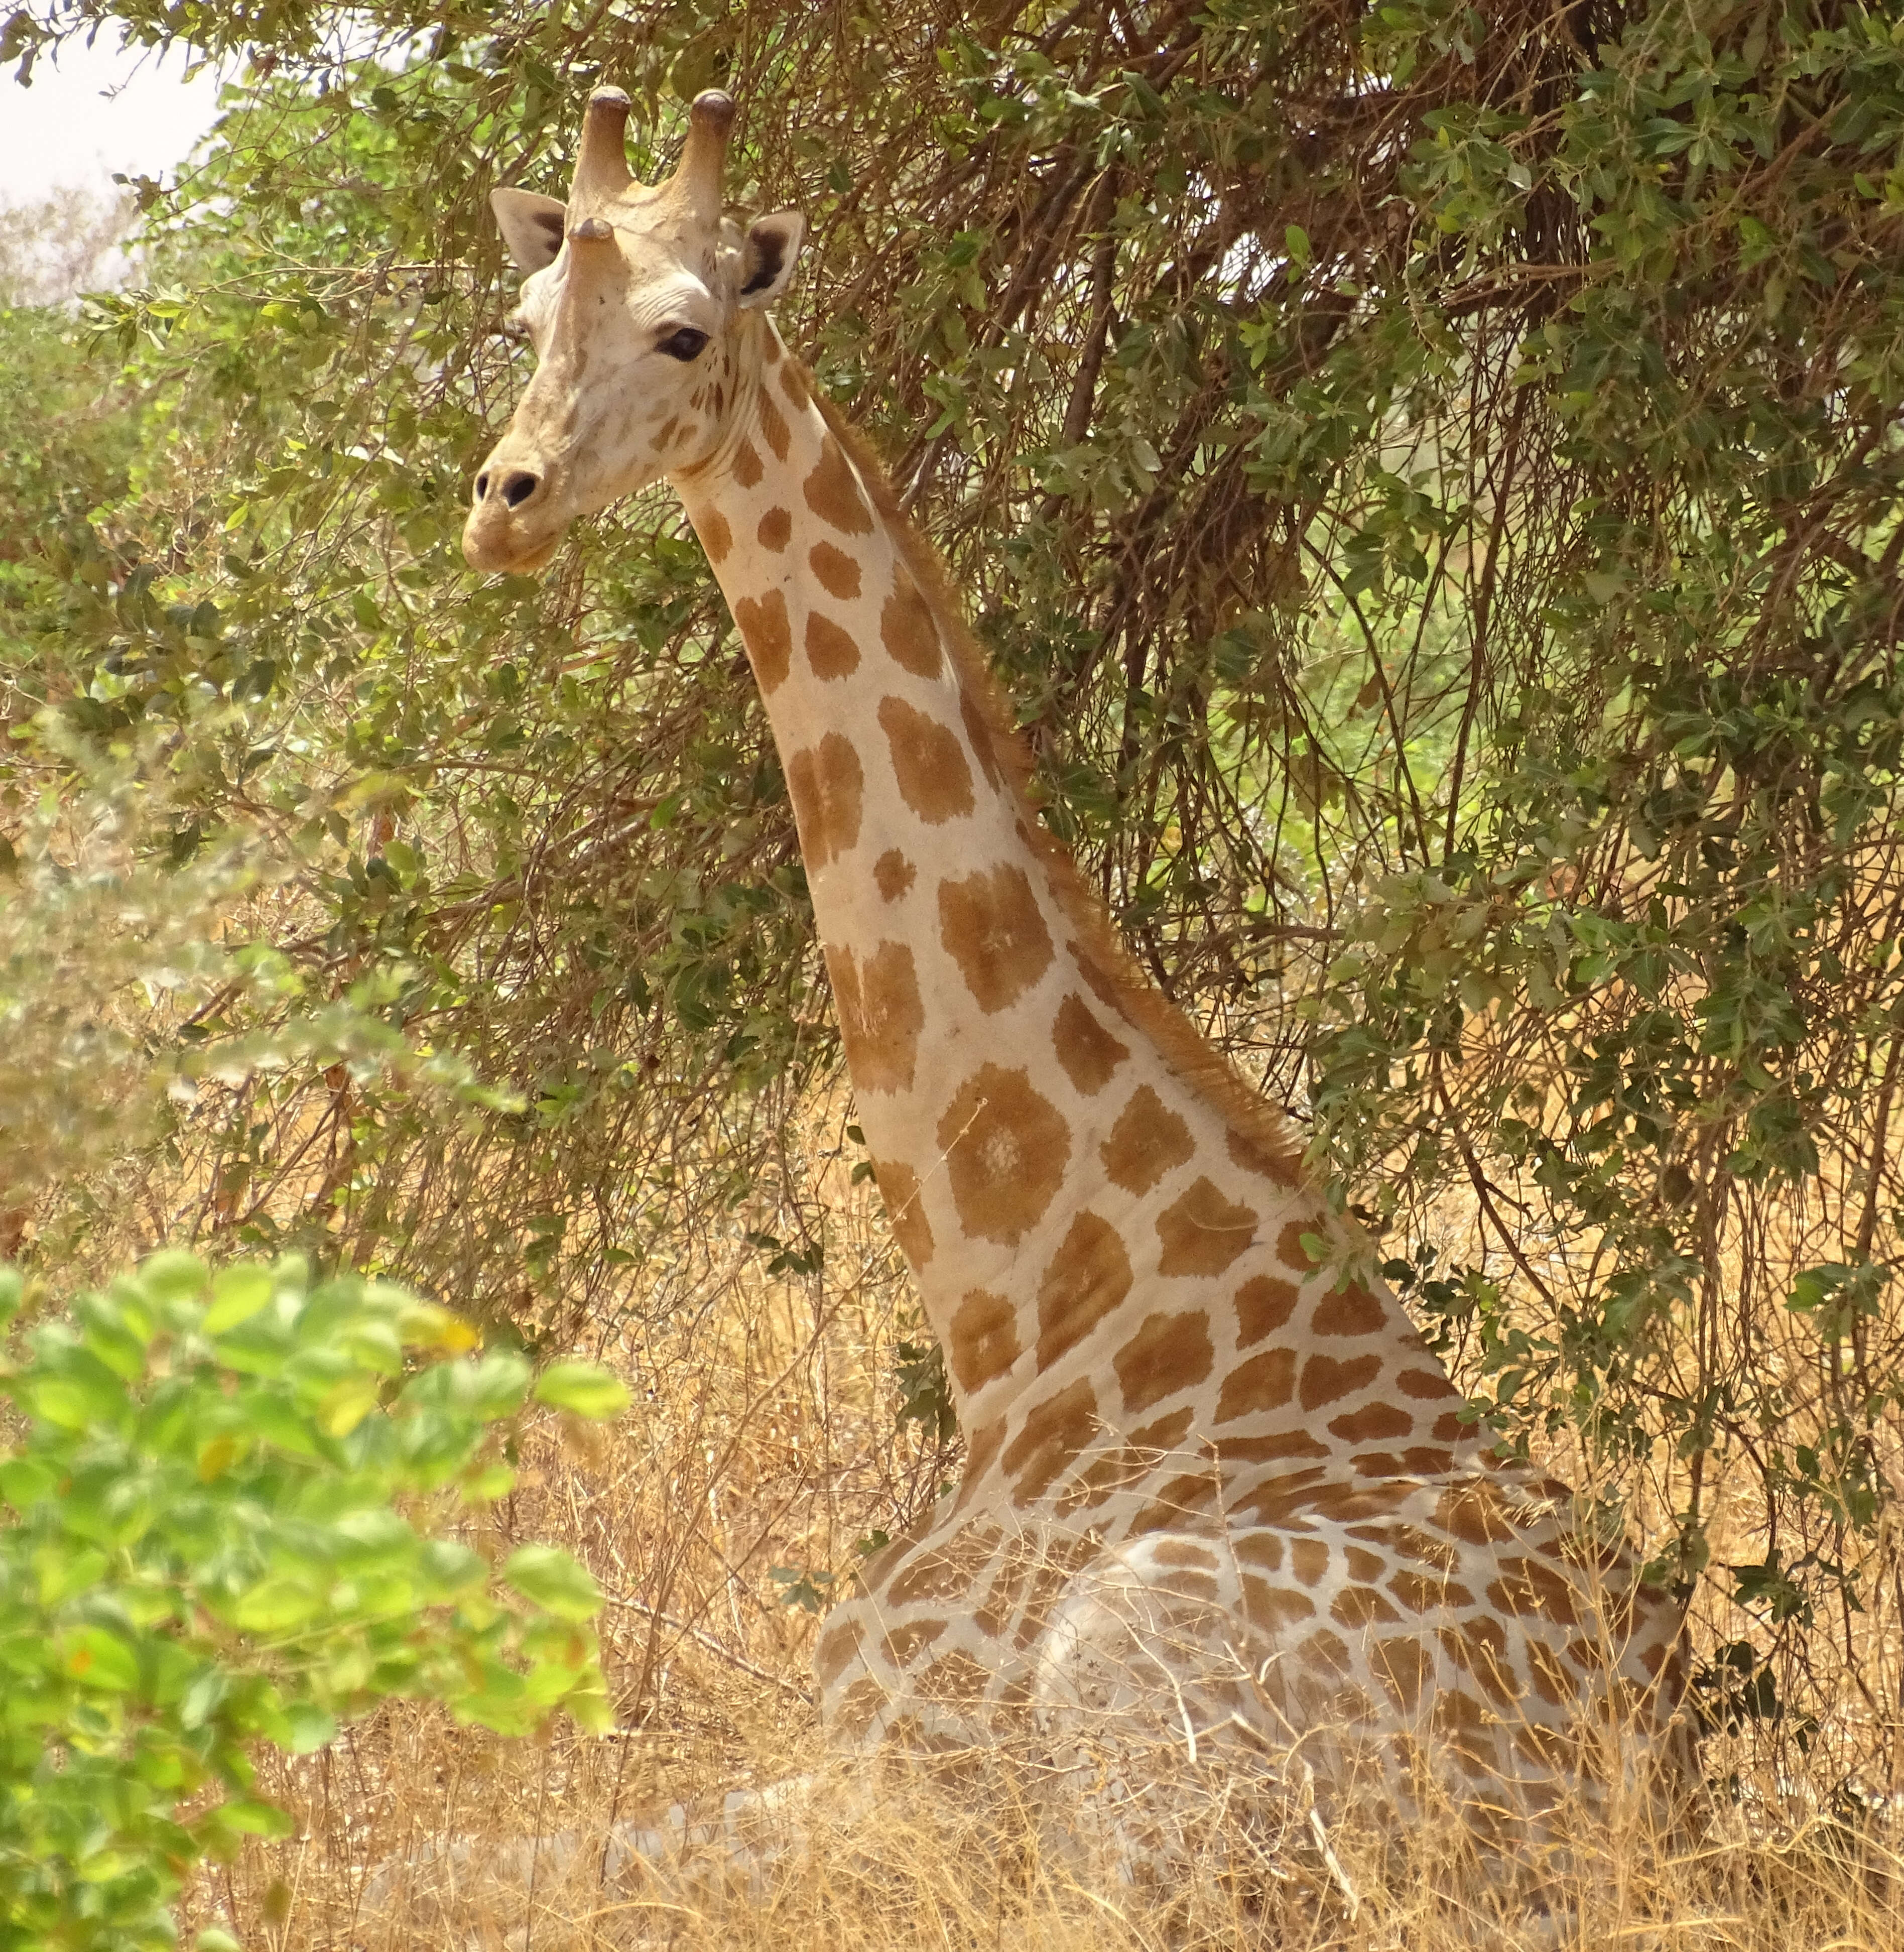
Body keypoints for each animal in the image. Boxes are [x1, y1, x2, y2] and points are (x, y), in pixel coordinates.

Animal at [460, 87, 1693, 1858]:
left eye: (685, 331)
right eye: (520, 321)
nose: (507, 499)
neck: (1031, 1314)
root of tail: (1655, 1785)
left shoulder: (909, 1769)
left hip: (1135, 1734)